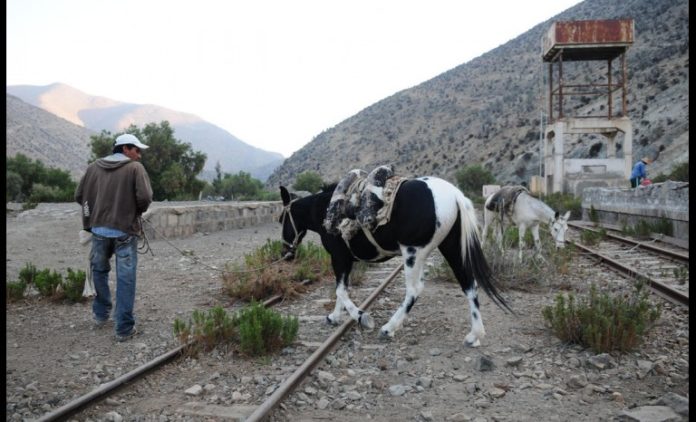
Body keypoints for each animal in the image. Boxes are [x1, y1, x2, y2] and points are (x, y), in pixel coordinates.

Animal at [278, 175, 512, 346]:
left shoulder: (339, 257)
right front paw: (335, 316)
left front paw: (362, 317)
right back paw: (475, 335)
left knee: (415, 290)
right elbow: (341, 290)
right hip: (451, 248)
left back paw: (389, 328)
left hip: (412, 253)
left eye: (281, 219)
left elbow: (340, 291)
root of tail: (455, 195)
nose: (285, 254)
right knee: (469, 285)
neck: (325, 208)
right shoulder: (345, 260)